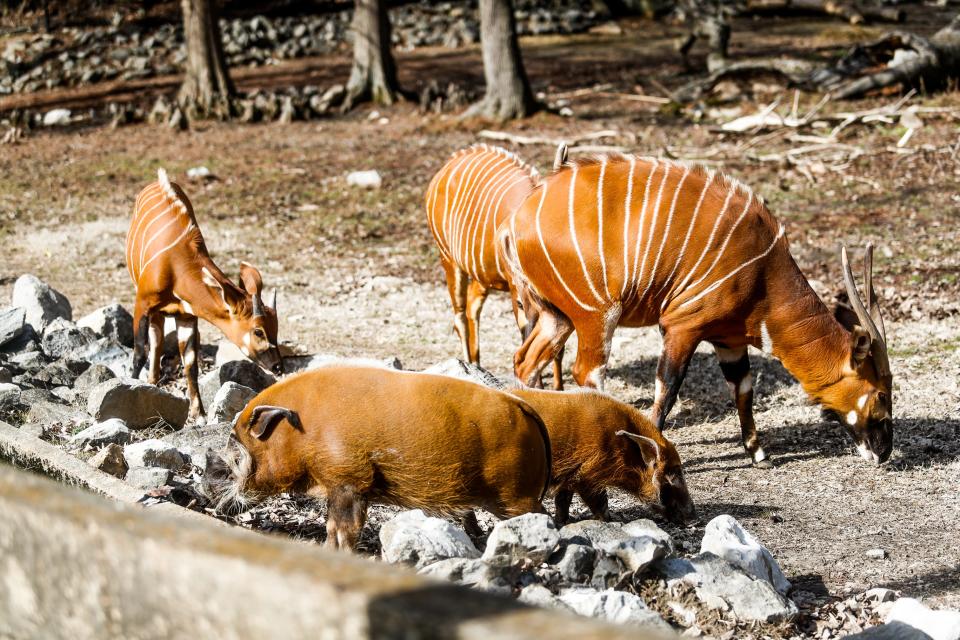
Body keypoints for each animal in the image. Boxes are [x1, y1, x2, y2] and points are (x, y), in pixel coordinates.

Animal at [126, 170, 282, 420]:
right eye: (258, 330)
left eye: (276, 329)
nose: (278, 366)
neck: (177, 267)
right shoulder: (142, 302)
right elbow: (140, 351)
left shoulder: (187, 315)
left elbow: (190, 362)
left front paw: (197, 414)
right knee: (154, 339)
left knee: (159, 338)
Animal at [424, 142, 568, 388]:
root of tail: (444, 169)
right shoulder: (518, 292)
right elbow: (529, 334)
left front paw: (558, 388)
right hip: (449, 259)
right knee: (460, 316)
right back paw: (466, 368)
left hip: (481, 275)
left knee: (472, 307)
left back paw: (477, 365)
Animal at [502, 155, 892, 464]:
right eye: (882, 394)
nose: (884, 450)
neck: (763, 274)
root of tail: (516, 219)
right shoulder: (681, 326)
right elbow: (667, 388)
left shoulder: (729, 339)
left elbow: (743, 387)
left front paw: (758, 453)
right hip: (595, 314)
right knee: (586, 373)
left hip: (557, 316)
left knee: (525, 360)